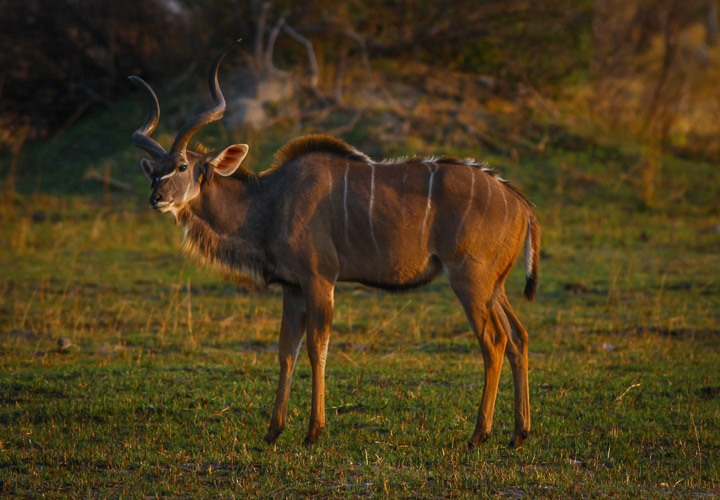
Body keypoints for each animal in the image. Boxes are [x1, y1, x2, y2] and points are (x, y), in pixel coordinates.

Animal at [129, 40, 540, 449]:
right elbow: (285, 350)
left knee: (494, 341)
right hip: (493, 286)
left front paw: (314, 431)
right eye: (154, 171)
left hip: (469, 280)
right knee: (518, 337)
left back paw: (479, 434)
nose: (156, 199)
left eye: (182, 166)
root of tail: (521, 203)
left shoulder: (319, 279)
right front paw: (273, 430)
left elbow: (317, 348)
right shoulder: (292, 287)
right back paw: (518, 433)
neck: (270, 201)